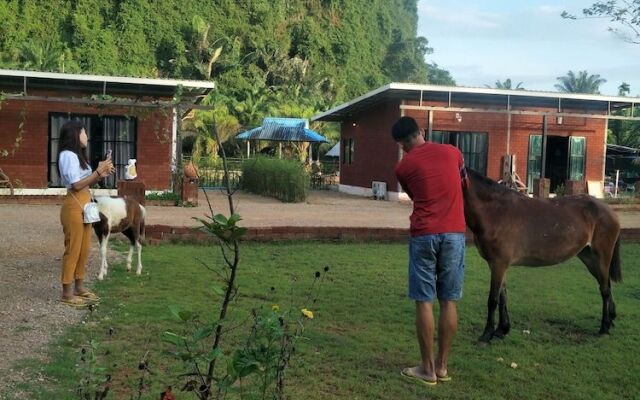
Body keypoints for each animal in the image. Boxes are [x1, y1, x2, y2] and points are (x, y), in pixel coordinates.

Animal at [462, 167, 624, 342]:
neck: (495, 211)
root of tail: (609, 210)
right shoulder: (498, 265)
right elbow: (503, 297)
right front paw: (501, 330)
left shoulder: (499, 264)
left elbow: (493, 299)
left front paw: (486, 334)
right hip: (589, 258)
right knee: (606, 285)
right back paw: (611, 318)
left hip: (602, 256)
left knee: (605, 290)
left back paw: (604, 327)